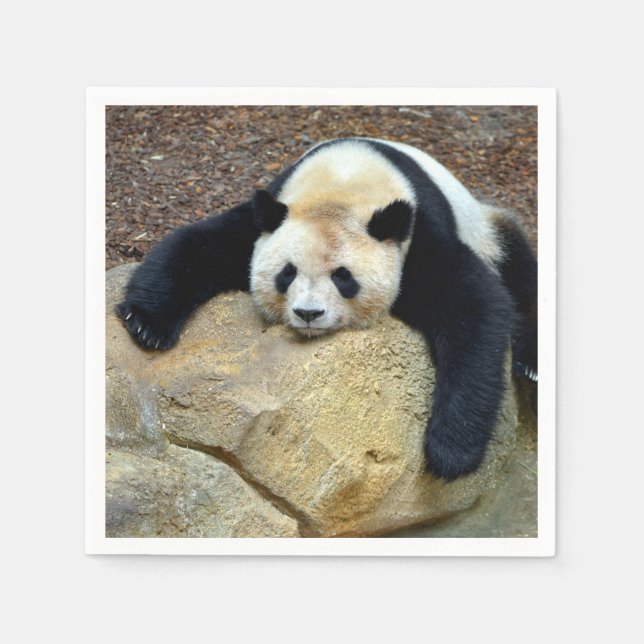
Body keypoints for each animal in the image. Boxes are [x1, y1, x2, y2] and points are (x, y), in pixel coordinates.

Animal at [117, 137, 537, 481]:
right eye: (287, 273)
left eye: (343, 277)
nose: (308, 314)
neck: (344, 180)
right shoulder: (270, 216)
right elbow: (201, 245)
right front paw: (146, 323)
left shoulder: (418, 238)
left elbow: (475, 307)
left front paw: (450, 452)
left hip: (485, 228)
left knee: (518, 267)